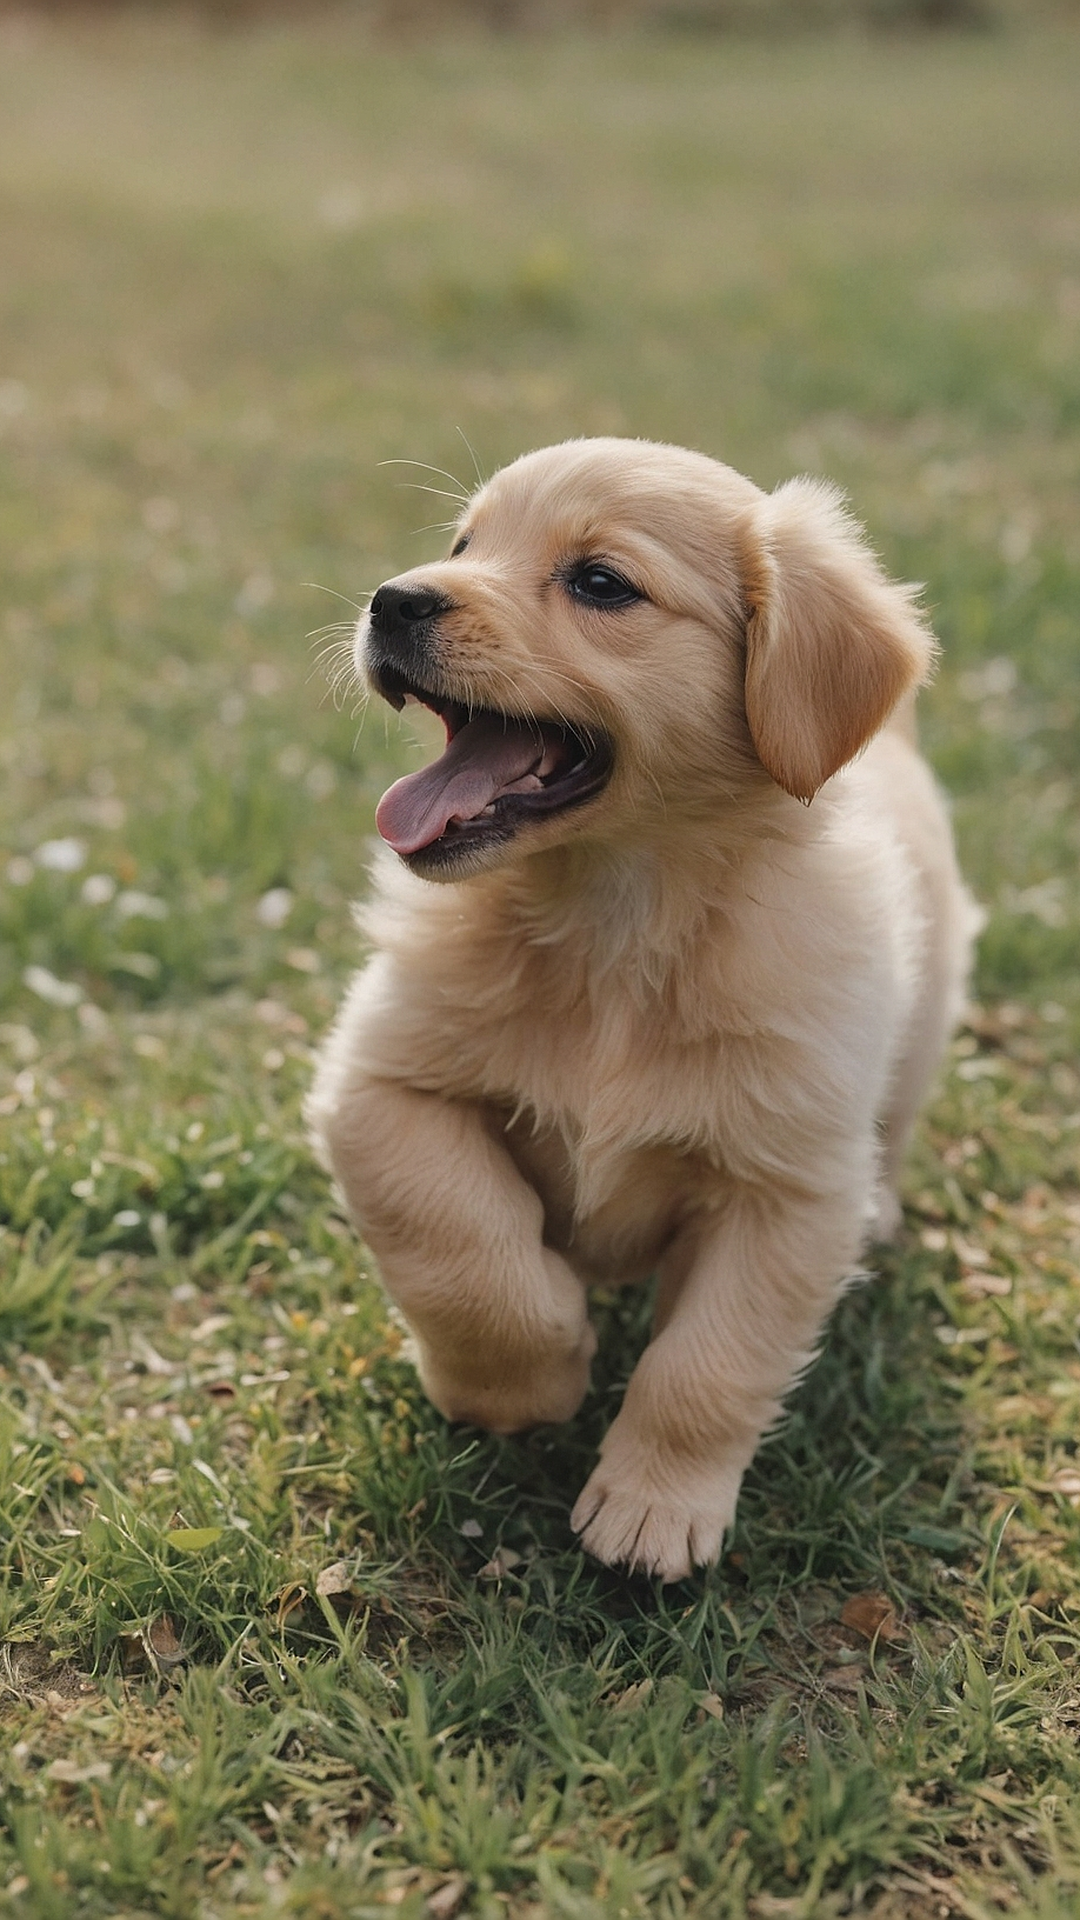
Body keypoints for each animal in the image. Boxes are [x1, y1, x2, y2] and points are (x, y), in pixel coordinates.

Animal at [305, 441, 976, 1582]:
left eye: (601, 583)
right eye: (463, 544)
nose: (394, 601)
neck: (614, 922)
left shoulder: (788, 1191)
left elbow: (708, 1364)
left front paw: (654, 1509)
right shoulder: (381, 1089)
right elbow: (465, 1253)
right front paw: (525, 1379)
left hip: (920, 1031)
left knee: (890, 1132)